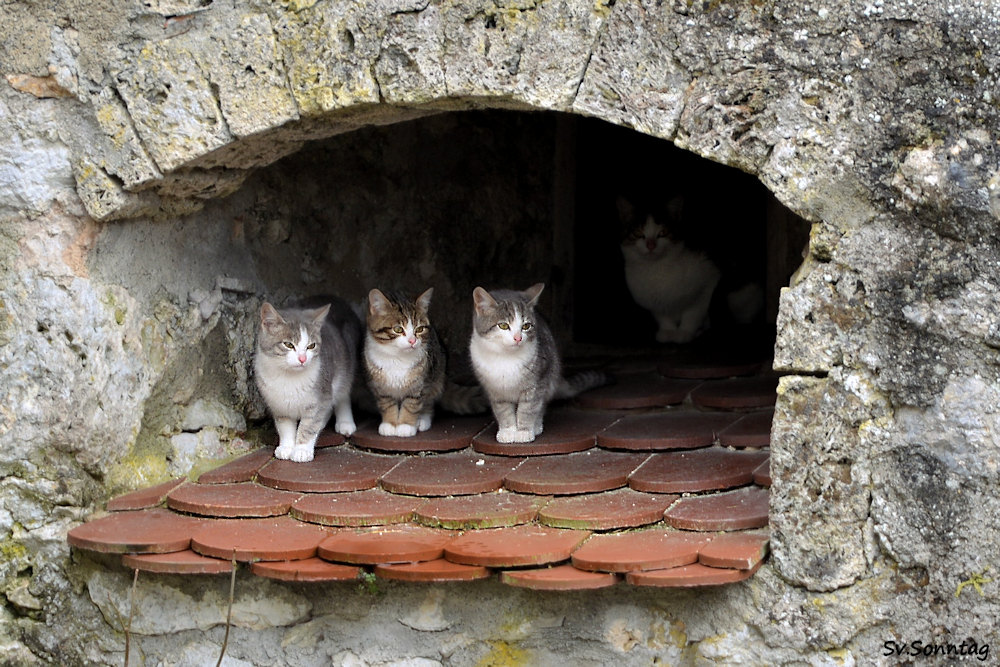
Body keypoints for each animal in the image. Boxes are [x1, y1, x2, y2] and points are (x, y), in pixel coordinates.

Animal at [252, 298, 362, 462]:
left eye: (311, 346)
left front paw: (302, 450)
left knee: (343, 394)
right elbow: (285, 427)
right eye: (288, 344)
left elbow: (309, 425)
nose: (302, 359)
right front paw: (286, 447)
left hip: (346, 367)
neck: (288, 378)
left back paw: (345, 422)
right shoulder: (278, 405)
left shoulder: (320, 397)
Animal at [364, 288, 446, 438]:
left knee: (429, 402)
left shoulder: (419, 384)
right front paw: (390, 424)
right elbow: (387, 403)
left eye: (419, 329)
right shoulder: (380, 386)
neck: (397, 358)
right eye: (398, 329)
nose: (412, 341)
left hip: (436, 375)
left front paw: (405, 425)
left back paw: (422, 419)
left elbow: (411, 404)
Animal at [472, 284, 604, 444]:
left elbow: (528, 408)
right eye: (503, 325)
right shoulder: (495, 389)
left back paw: (536, 426)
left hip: (550, 376)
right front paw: (508, 431)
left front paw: (524, 431)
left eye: (526, 326)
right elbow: (503, 410)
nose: (518, 338)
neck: (506, 358)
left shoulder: (537, 383)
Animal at [616, 194, 720, 344]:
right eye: (638, 232)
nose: (651, 245)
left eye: (663, 232)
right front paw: (668, 331)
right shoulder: (653, 300)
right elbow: (662, 315)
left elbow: (693, 313)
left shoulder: (707, 283)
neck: (655, 269)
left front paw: (685, 332)